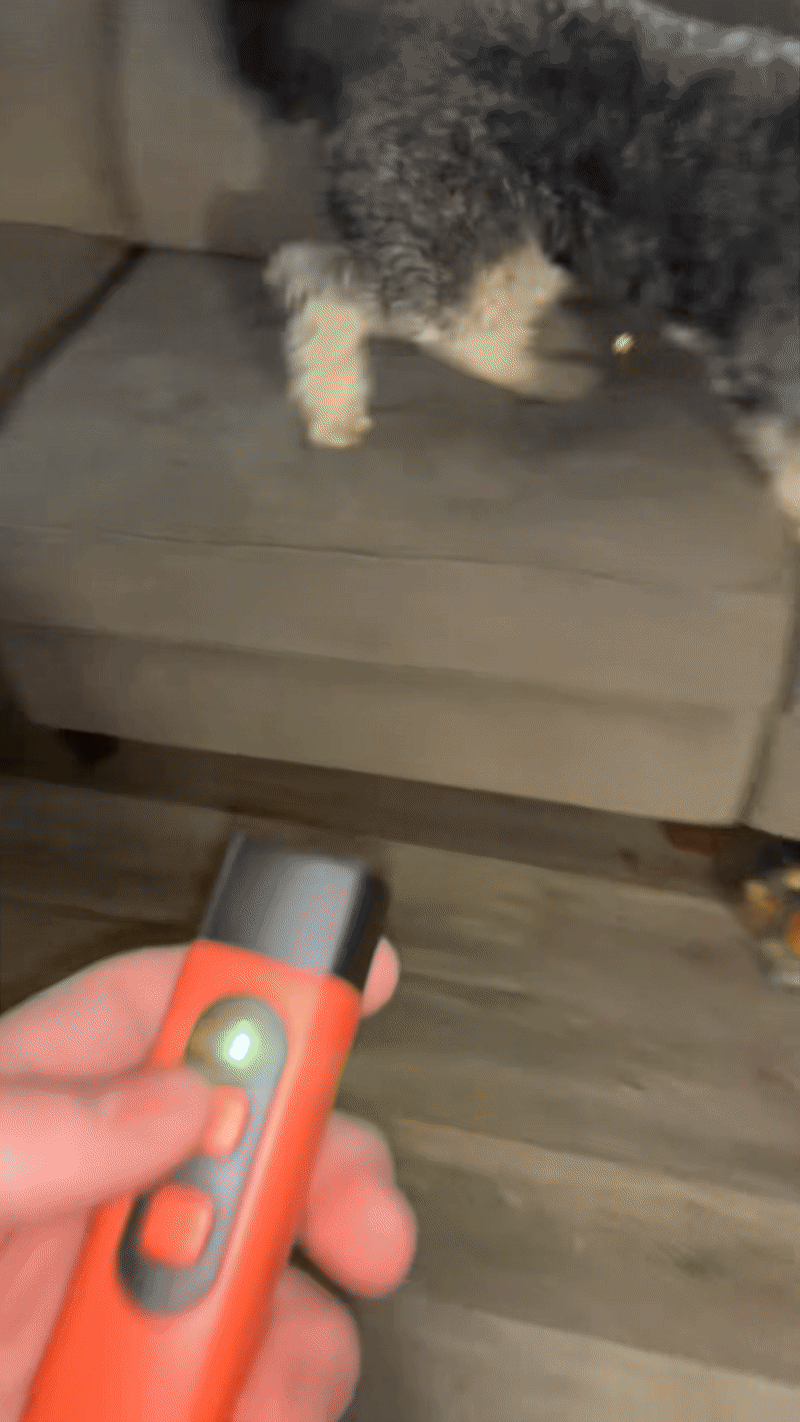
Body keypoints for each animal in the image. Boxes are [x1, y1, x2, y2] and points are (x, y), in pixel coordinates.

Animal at [225, 0, 800, 523]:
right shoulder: (771, 348)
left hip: (520, 242)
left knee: (463, 327)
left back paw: (550, 376)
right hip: (444, 231)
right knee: (332, 291)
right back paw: (336, 411)